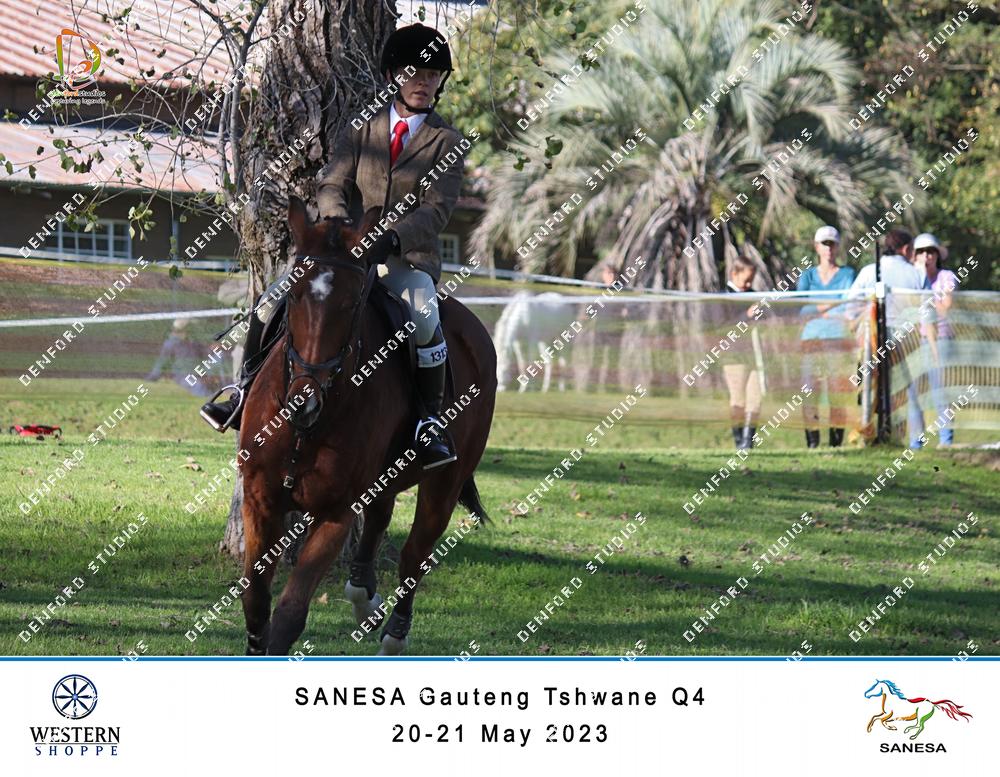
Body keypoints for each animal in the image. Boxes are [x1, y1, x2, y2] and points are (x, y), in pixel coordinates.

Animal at [237, 196, 497, 656]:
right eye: (295, 296)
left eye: (351, 303)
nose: (304, 403)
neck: (307, 428)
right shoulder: (260, 499)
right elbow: (255, 599)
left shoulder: (334, 514)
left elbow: (290, 613)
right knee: (377, 521)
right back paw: (364, 598)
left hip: (445, 483)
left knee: (415, 554)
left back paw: (393, 633)